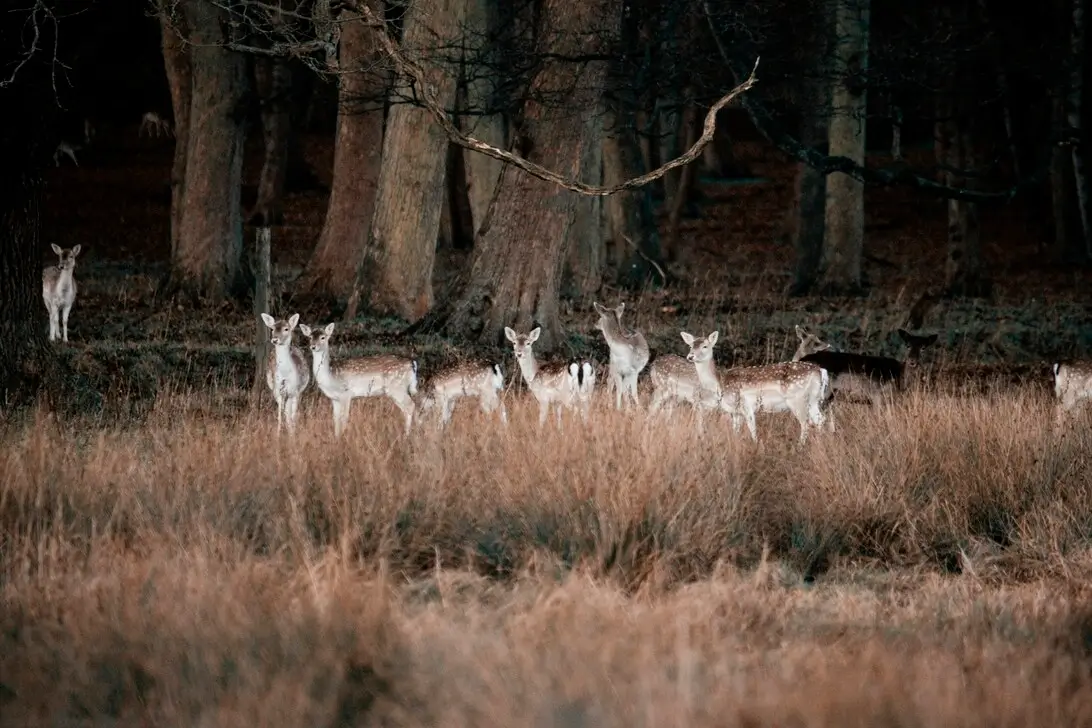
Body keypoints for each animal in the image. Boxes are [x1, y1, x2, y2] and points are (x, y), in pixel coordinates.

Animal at [683, 330, 830, 444]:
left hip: (797, 398)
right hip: (813, 399)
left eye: (705, 346)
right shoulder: (735, 411)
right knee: (820, 420)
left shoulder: (745, 405)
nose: (690, 356)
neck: (720, 383)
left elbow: (753, 429)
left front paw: (755, 446)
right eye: (690, 346)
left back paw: (800, 447)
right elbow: (735, 431)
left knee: (805, 423)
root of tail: (820, 371)